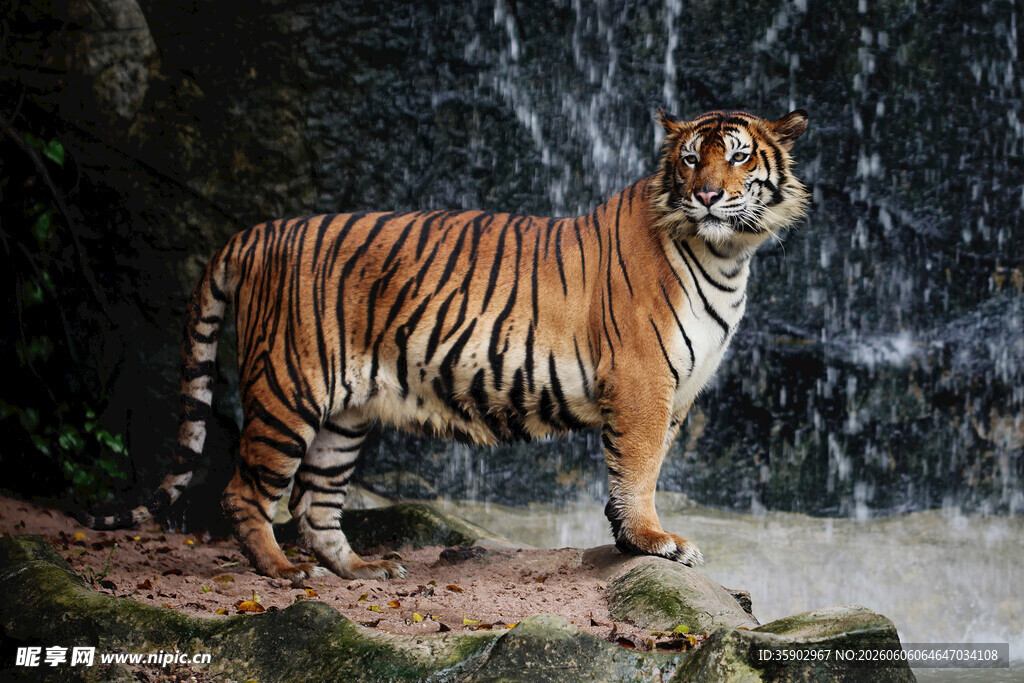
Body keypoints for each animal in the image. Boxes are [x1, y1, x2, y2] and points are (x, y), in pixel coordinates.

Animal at [84, 108, 809, 583]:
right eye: (689, 158)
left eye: (739, 155)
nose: (707, 195)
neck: (726, 255)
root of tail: (258, 231)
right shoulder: (641, 381)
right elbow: (639, 470)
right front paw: (654, 542)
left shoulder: (675, 392)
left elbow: (635, 469)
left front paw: (630, 542)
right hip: (288, 391)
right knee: (245, 493)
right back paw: (283, 571)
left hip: (344, 415)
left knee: (316, 504)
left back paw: (362, 569)